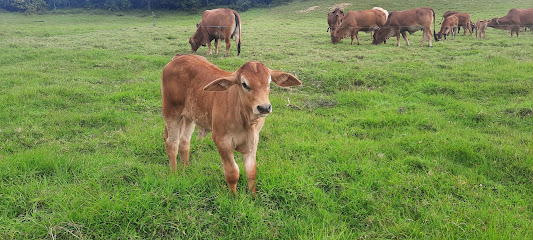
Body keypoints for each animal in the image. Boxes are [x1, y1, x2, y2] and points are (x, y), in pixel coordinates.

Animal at [160, 54, 302, 193]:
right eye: (244, 84)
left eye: (269, 83)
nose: (264, 107)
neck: (246, 120)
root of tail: (178, 57)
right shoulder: (222, 141)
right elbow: (232, 173)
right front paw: (234, 196)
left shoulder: (254, 140)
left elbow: (251, 171)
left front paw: (253, 196)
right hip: (171, 112)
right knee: (171, 144)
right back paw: (174, 174)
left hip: (189, 117)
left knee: (184, 142)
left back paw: (186, 169)